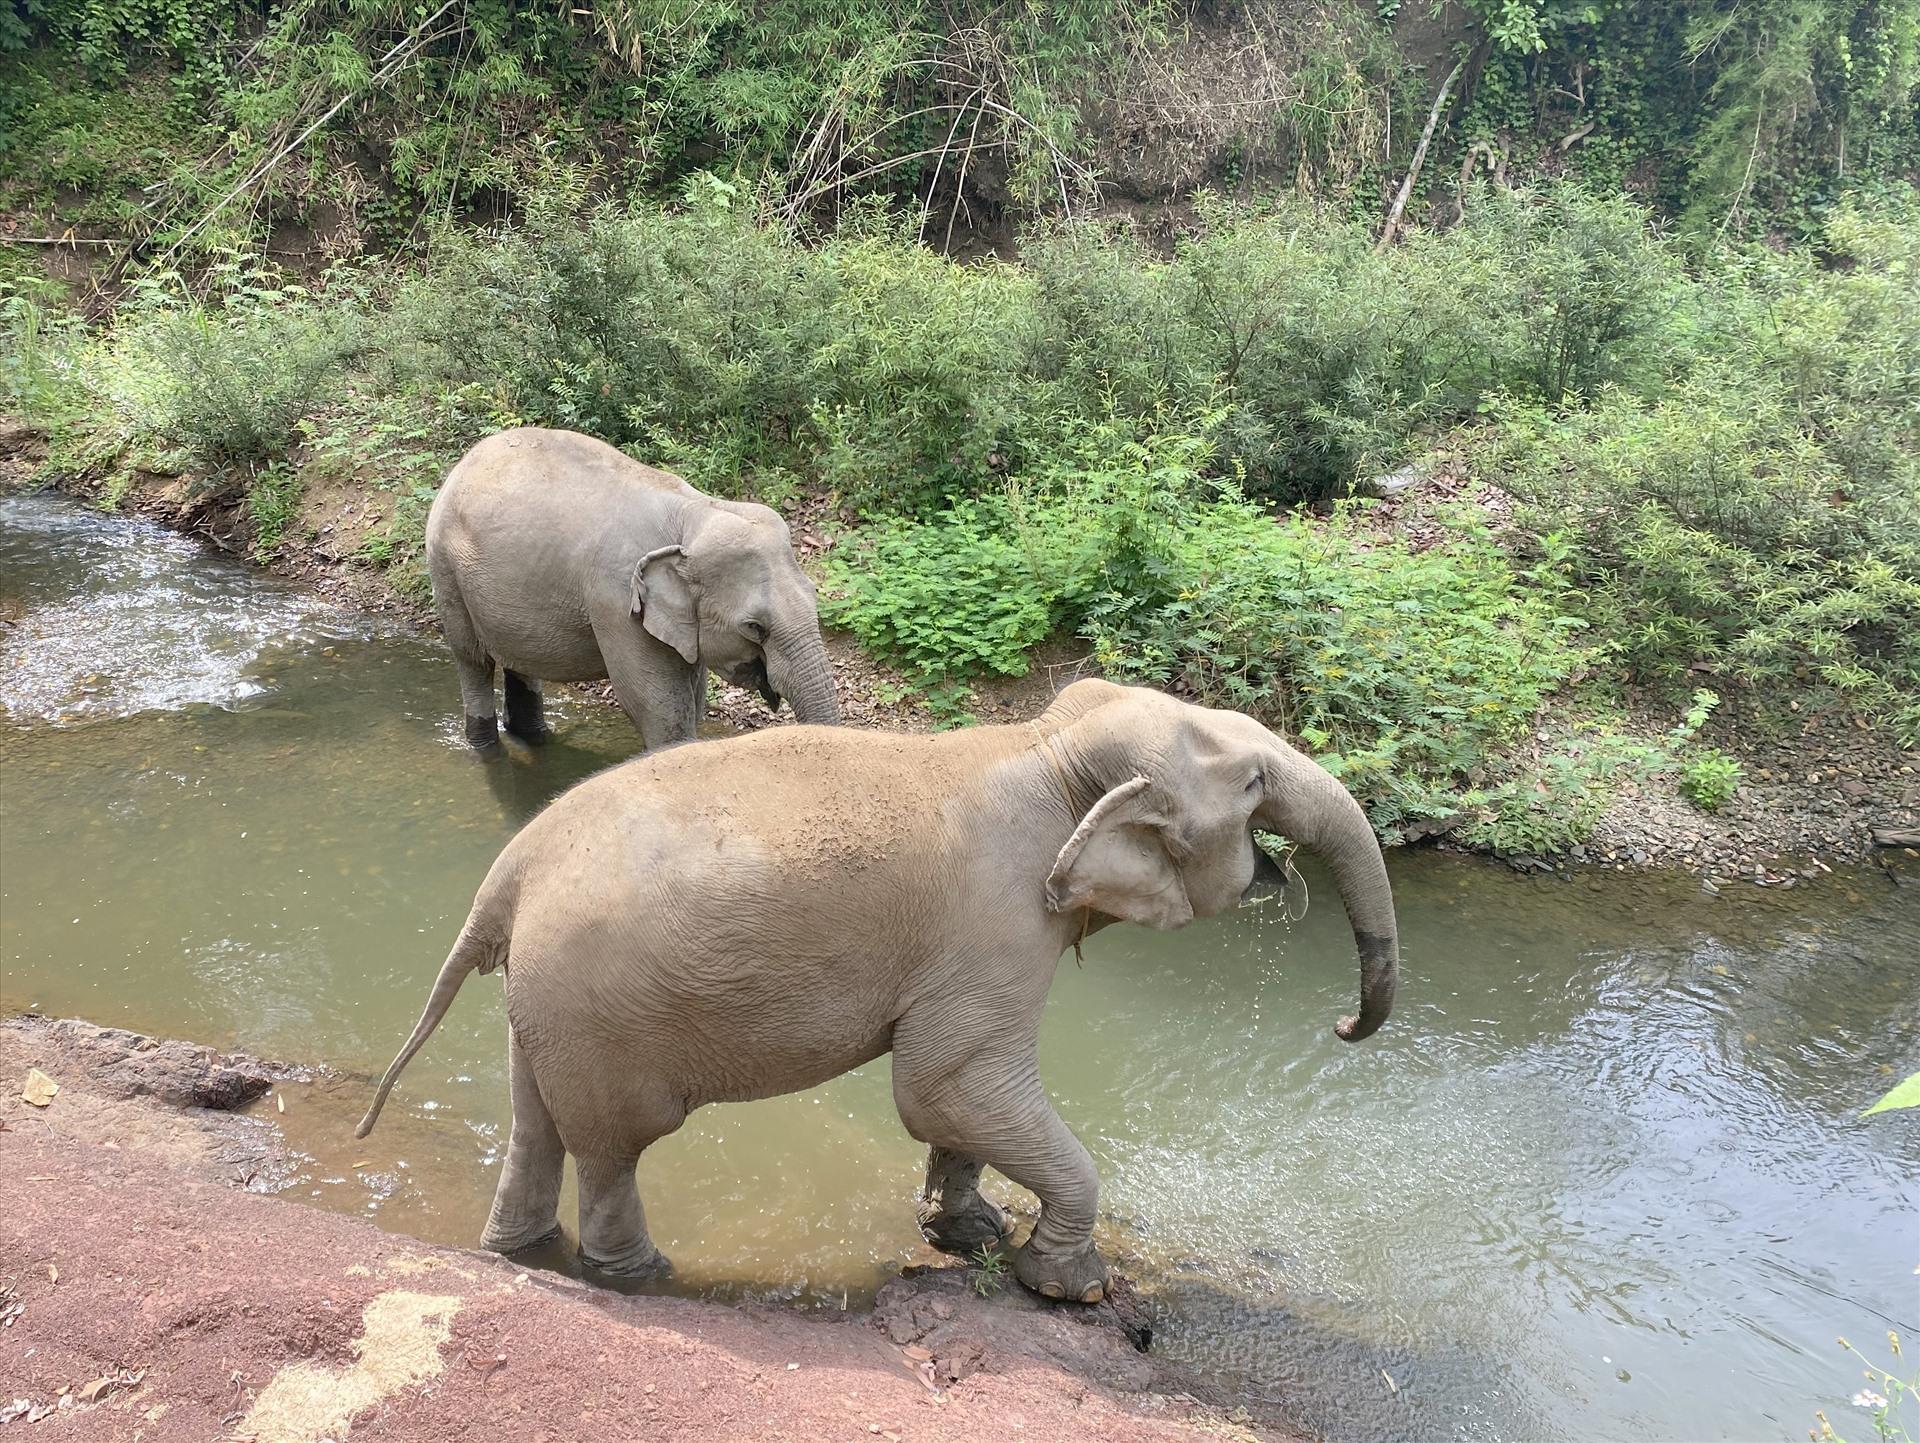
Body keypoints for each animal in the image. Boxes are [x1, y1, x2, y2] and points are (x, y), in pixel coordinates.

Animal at [357, 683, 1397, 1304]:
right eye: (1255, 780)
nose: (1345, 1022)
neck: (1048, 743)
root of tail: (509, 871)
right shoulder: (998, 917)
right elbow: (946, 1081)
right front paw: (1067, 1284)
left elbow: (962, 1094)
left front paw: (967, 1231)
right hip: (597, 1007)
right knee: (615, 1145)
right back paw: (642, 1274)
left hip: (545, 1001)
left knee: (536, 1123)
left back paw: (519, 1253)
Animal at [424, 425, 837, 744]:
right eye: (754, 627)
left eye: (815, 597)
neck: (695, 511)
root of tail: (464, 461)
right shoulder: (617, 602)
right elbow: (656, 706)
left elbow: (692, 698)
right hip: (445, 569)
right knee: (472, 659)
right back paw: (483, 743)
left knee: (520, 661)